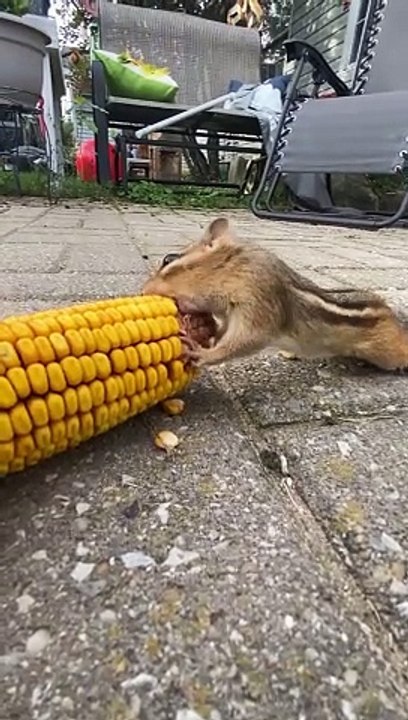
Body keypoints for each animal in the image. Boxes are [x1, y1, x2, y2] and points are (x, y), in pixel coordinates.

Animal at [141, 216, 408, 371]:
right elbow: (224, 332)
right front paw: (201, 331)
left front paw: (202, 353)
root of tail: (390, 312)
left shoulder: (258, 300)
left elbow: (248, 339)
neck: (233, 268)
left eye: (168, 259)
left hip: (388, 353)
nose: (143, 291)